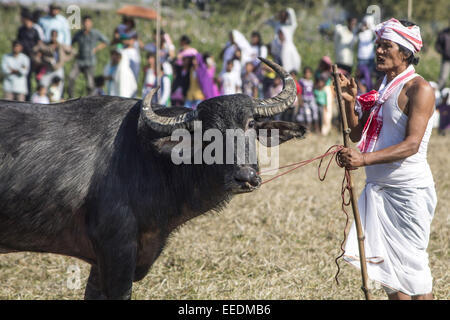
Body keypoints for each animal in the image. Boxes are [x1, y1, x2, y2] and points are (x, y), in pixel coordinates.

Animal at [0, 58, 306, 300]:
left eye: (250, 124)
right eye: (206, 134)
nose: (245, 176)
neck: (149, 159)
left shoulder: (101, 264)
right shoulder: (117, 252)